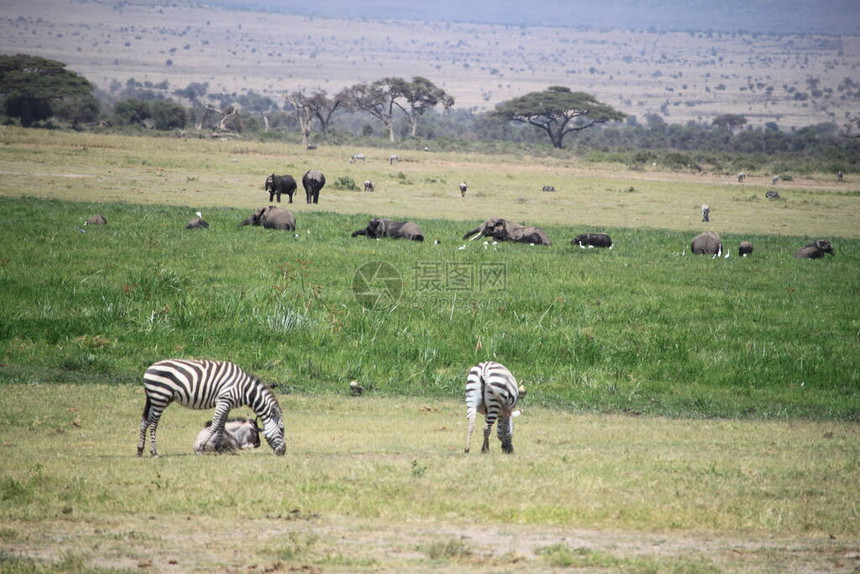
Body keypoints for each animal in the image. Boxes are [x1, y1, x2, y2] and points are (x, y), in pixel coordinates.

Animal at [138, 360, 286, 460]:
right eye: (282, 429)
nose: (283, 451)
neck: (243, 389)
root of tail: (149, 368)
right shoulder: (223, 400)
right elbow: (215, 424)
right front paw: (202, 447)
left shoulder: (227, 404)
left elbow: (222, 425)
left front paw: (218, 447)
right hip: (160, 397)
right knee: (154, 424)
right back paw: (154, 452)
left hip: (157, 399)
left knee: (145, 421)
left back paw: (140, 450)